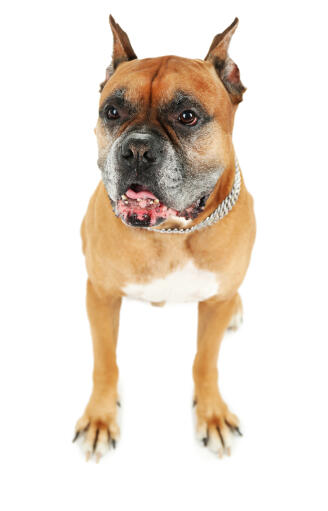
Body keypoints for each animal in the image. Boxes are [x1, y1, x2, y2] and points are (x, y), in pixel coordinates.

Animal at [73, 17, 256, 464]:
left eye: (187, 116)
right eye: (112, 112)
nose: (137, 148)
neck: (171, 232)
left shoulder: (214, 307)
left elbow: (205, 361)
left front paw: (211, 414)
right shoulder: (100, 296)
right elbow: (105, 360)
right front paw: (101, 417)